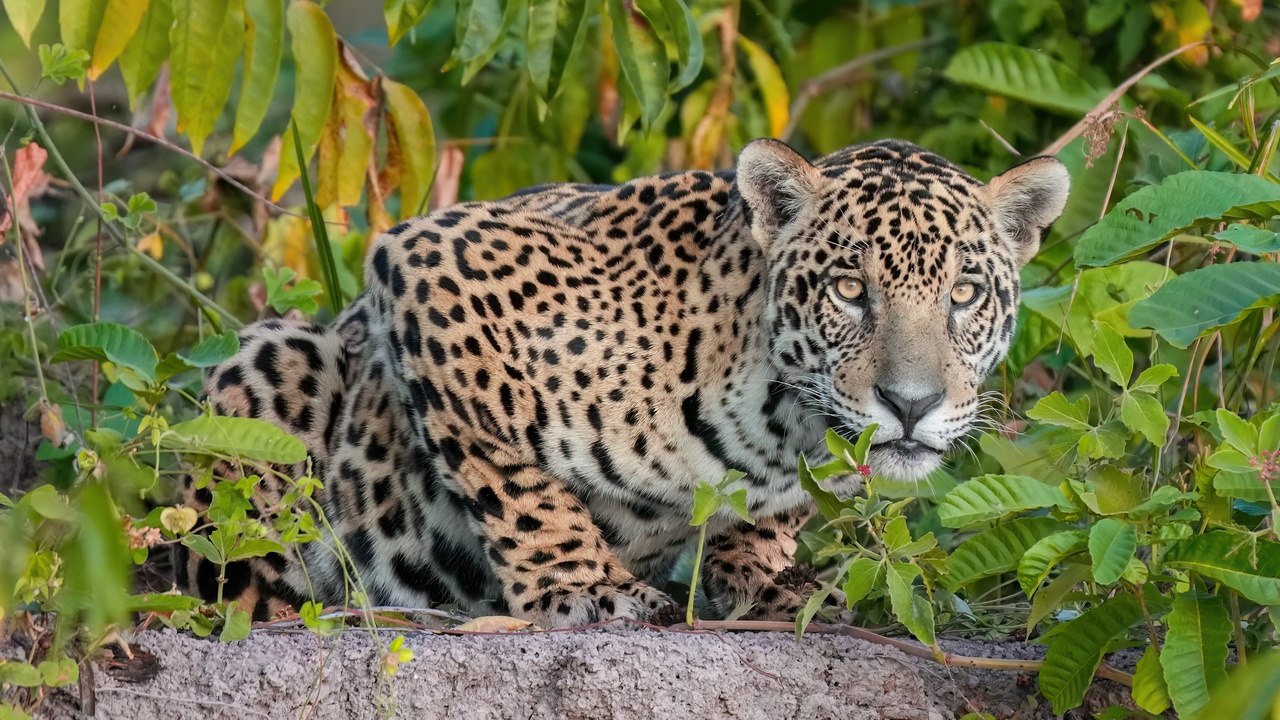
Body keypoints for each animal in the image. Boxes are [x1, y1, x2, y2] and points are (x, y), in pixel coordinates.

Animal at [176, 138, 1069, 628]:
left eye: (965, 294)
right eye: (850, 289)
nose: (911, 405)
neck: (780, 419)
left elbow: (772, 521)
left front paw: (765, 574)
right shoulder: (434, 260)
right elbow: (512, 478)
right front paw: (583, 587)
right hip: (273, 359)